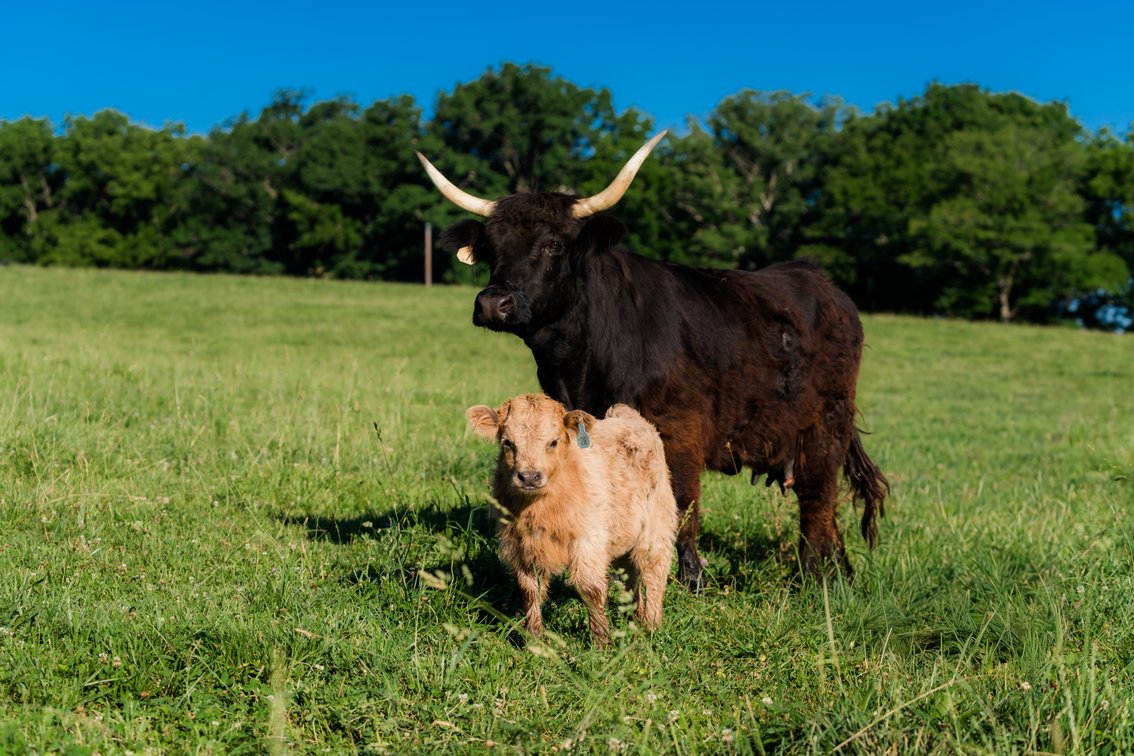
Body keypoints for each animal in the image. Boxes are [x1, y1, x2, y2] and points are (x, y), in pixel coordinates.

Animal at [421, 133, 889, 590]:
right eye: (490, 249)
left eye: (553, 244)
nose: (492, 303)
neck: (581, 364)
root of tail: (820, 281)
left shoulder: (679, 432)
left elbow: (680, 505)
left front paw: (689, 580)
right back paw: (840, 570)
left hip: (825, 425)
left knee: (818, 499)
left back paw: (814, 577)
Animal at [467, 394, 677, 645]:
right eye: (508, 443)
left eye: (553, 442)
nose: (529, 476)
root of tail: (628, 417)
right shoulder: (522, 547)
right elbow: (530, 590)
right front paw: (533, 638)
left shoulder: (589, 541)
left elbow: (590, 590)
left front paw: (601, 641)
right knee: (631, 574)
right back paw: (634, 616)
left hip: (656, 525)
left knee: (653, 571)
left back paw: (651, 625)